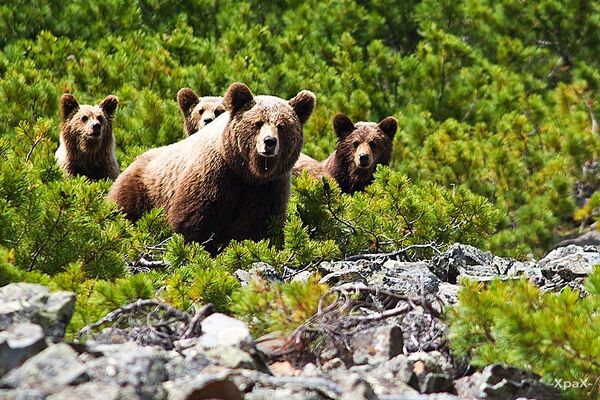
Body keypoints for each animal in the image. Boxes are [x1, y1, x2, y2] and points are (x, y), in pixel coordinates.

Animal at [108, 82, 316, 253]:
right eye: (258, 123)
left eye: (282, 126)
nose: (269, 142)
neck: (247, 172)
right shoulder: (214, 174)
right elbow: (195, 218)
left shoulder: (268, 187)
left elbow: (256, 226)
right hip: (142, 189)